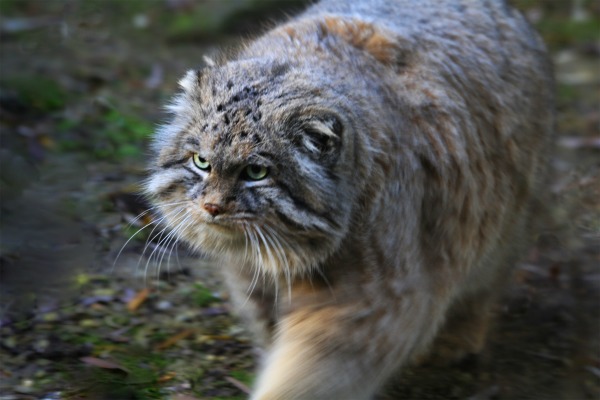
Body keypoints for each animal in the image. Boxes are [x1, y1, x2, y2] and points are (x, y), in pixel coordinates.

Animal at [145, 0, 552, 396]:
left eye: (256, 172)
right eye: (201, 162)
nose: (212, 207)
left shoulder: (375, 301)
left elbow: (309, 374)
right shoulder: (252, 280)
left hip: (501, 227)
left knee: (481, 285)